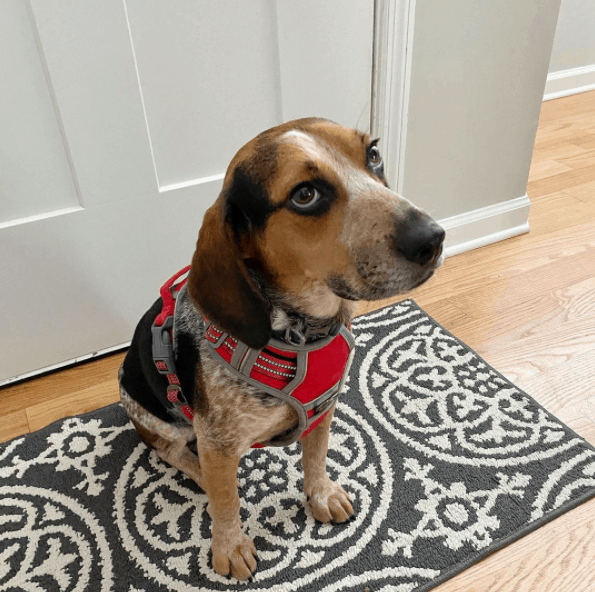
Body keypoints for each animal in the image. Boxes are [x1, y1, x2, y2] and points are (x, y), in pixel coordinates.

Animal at [118, 118, 444, 580]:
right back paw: (198, 472)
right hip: (157, 417)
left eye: (374, 154)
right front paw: (230, 546)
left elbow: (316, 457)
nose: (433, 238)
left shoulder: (324, 407)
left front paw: (321, 494)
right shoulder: (217, 441)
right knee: (171, 451)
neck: (303, 330)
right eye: (304, 195)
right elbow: (226, 502)